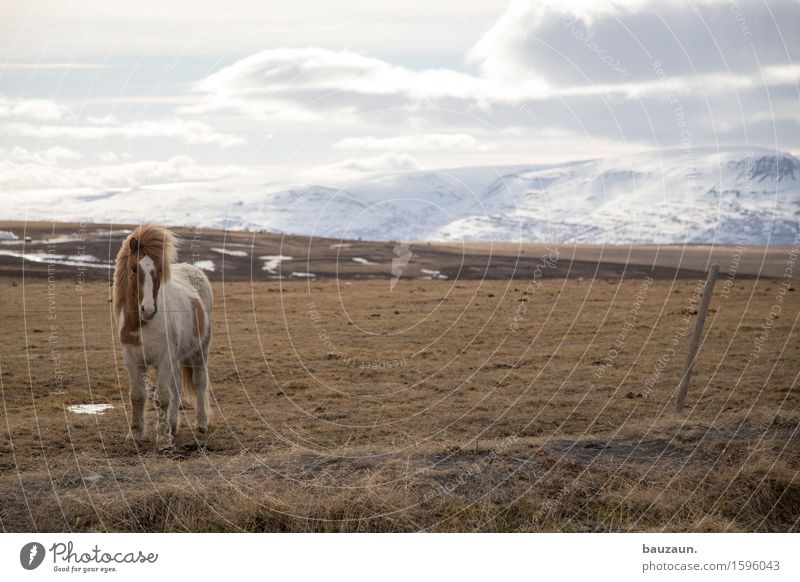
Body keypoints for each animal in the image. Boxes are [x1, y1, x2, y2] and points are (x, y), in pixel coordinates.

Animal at [113, 226, 212, 450]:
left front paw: (163, 439)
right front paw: (135, 435)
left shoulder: (164, 359)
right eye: (134, 268)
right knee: (177, 387)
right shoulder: (133, 360)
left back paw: (201, 424)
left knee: (199, 382)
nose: (148, 309)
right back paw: (173, 425)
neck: (143, 325)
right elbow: (138, 396)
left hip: (200, 350)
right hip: (176, 359)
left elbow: (162, 398)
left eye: (159, 269)